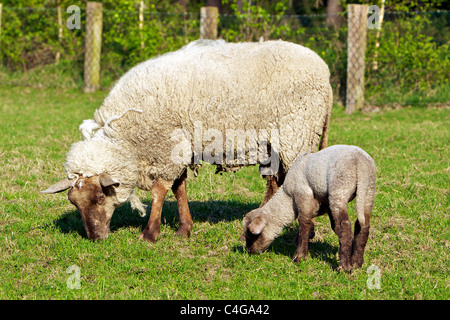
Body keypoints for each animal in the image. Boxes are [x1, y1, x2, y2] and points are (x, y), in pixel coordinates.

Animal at [42, 38, 332, 241]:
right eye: (74, 202)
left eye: (101, 198)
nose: (95, 238)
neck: (130, 140)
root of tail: (325, 73)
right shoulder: (177, 147)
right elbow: (178, 187)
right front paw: (184, 229)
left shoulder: (166, 146)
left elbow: (160, 189)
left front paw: (150, 234)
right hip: (275, 144)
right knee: (276, 184)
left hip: (297, 132)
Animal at [243, 145, 376, 270]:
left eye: (252, 234)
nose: (250, 251)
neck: (288, 198)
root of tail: (362, 163)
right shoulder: (326, 203)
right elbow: (334, 227)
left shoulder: (303, 195)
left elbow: (304, 223)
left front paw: (299, 257)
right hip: (368, 191)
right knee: (363, 225)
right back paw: (356, 262)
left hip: (339, 189)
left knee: (345, 226)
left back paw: (344, 268)